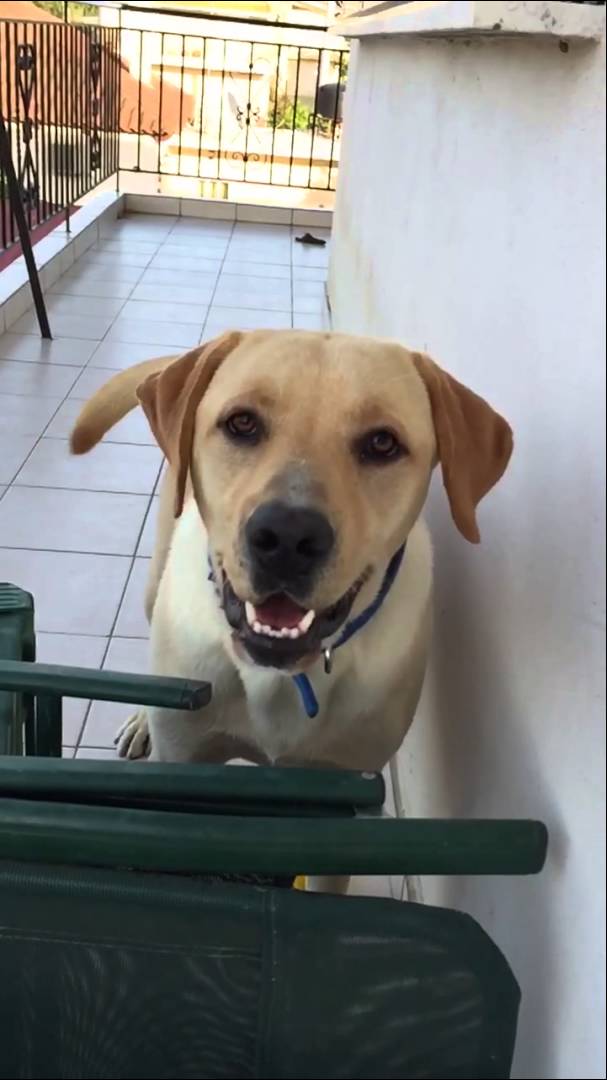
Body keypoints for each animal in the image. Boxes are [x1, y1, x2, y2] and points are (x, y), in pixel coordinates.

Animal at [69, 324, 509, 773]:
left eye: (383, 443)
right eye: (242, 422)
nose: (287, 538)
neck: (282, 678)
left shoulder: (352, 771)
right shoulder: (184, 753)